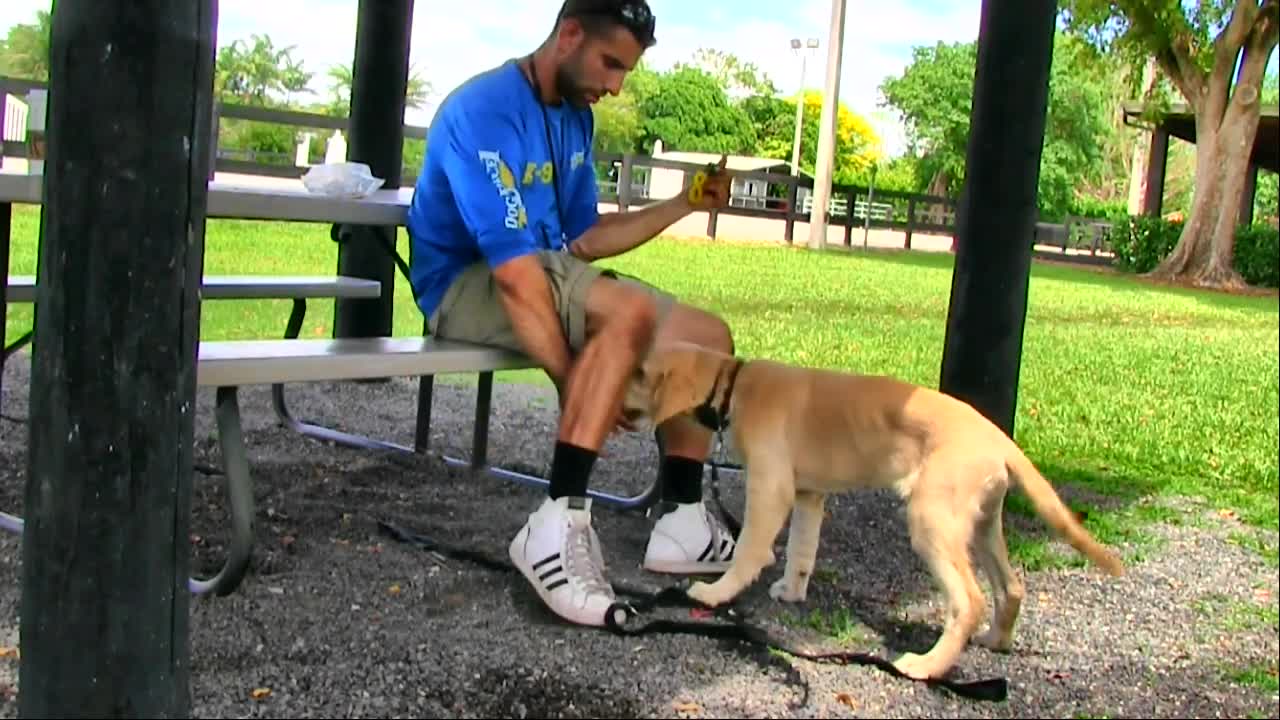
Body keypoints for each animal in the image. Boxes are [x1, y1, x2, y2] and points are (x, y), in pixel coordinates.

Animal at [624, 340, 1126, 676]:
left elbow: (751, 549)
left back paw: (927, 666)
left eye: (639, 373)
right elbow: (802, 550)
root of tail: (999, 438)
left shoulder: (771, 489)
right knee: (1012, 587)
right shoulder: (809, 494)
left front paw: (716, 593)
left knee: (970, 599)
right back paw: (996, 640)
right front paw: (792, 591)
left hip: (932, 521)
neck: (736, 385)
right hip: (981, 524)